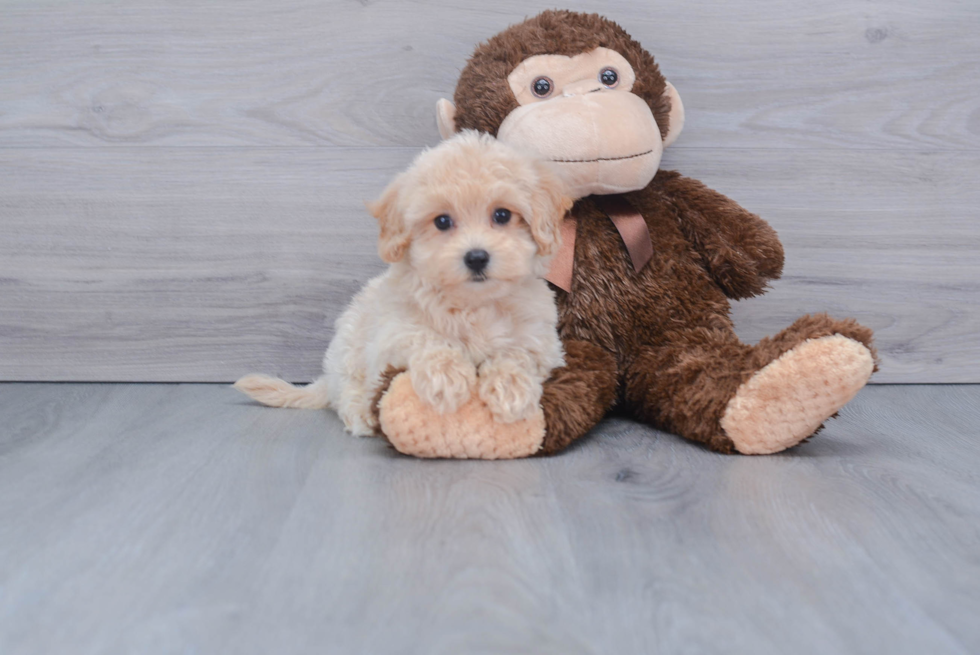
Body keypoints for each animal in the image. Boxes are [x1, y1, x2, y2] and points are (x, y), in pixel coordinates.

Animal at [234, 131, 572, 438]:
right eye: (442, 221)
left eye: (502, 215)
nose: (476, 257)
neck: (473, 304)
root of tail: (326, 378)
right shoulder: (391, 332)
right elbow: (422, 336)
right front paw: (445, 376)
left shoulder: (542, 342)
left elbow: (518, 353)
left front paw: (510, 387)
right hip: (348, 352)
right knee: (347, 393)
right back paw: (361, 413)